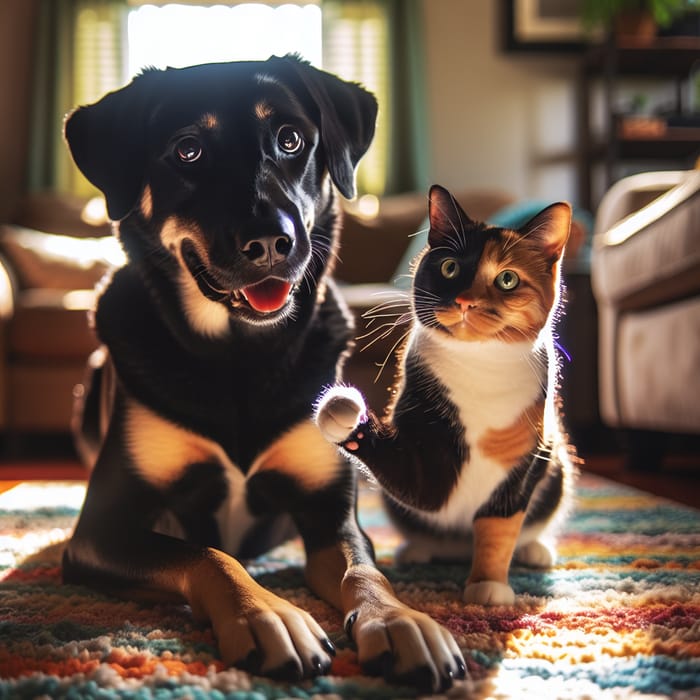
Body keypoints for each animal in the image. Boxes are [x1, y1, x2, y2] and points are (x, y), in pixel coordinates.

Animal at [61, 57, 464, 692]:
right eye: (188, 150)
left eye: (291, 139)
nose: (274, 241)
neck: (241, 354)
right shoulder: (101, 530)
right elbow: (207, 553)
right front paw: (265, 613)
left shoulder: (328, 513)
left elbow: (365, 571)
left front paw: (401, 621)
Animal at [314, 183, 576, 604]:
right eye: (449, 267)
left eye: (507, 279)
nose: (465, 301)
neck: (479, 367)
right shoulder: (426, 458)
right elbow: (418, 483)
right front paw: (342, 412)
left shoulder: (526, 459)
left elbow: (499, 527)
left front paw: (488, 585)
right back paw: (416, 550)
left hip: (557, 467)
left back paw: (535, 550)